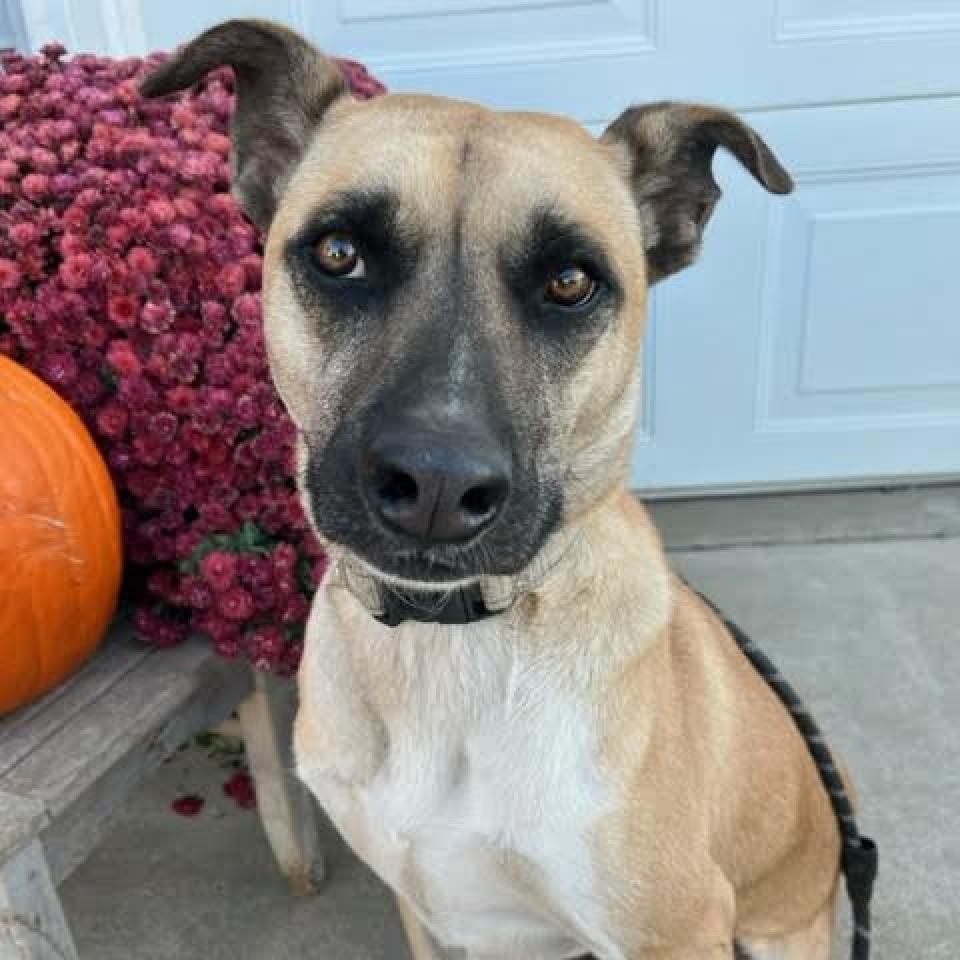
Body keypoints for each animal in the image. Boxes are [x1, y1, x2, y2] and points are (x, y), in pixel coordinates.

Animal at [142, 22, 840, 960]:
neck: (449, 644)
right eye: (338, 254)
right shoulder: (428, 913)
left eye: (572, 281)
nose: (437, 483)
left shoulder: (672, 929)